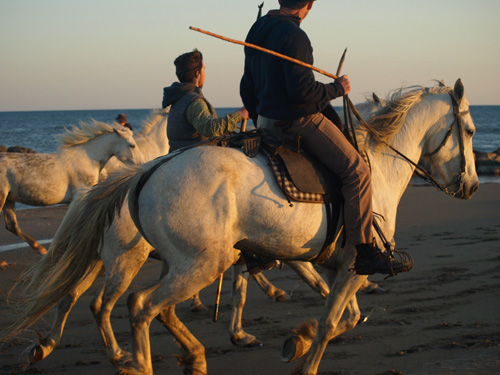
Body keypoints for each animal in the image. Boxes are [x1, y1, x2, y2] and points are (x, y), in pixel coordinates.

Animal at [0, 122, 138, 258]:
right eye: (132, 145)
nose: (140, 164)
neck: (88, 158)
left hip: (9, 199)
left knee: (12, 225)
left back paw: (39, 249)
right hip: (2, 197)